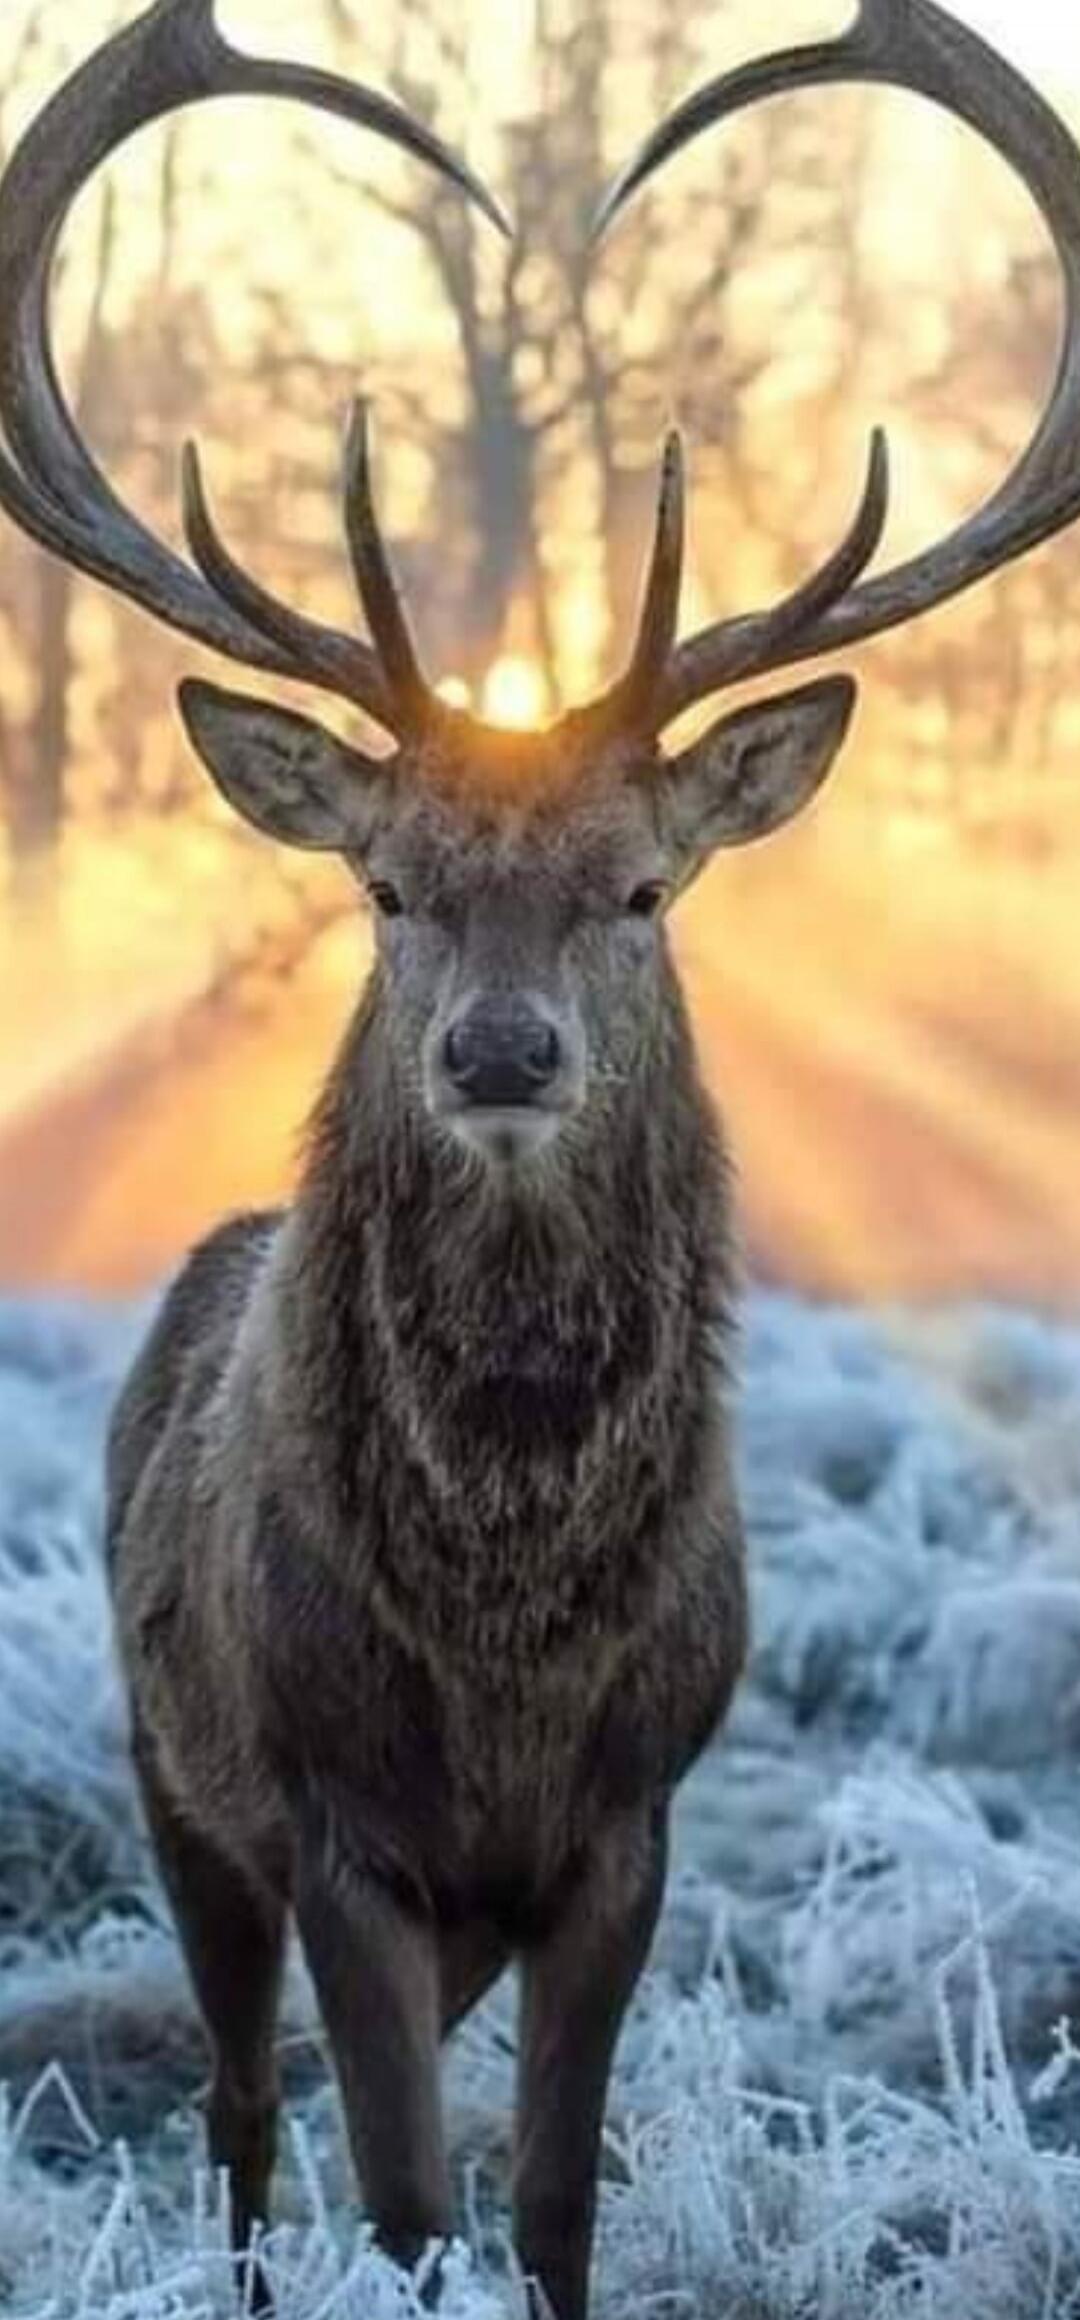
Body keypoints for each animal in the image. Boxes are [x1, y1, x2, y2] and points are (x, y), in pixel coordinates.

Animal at [2, 1, 1080, 2313]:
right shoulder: (327, 1812)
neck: (505, 1651)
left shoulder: (631, 1822)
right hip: (163, 1768)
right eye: (390, 885)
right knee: (238, 2110)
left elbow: (558, 2192)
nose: (501, 1046)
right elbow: (409, 2198)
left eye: (643, 888)